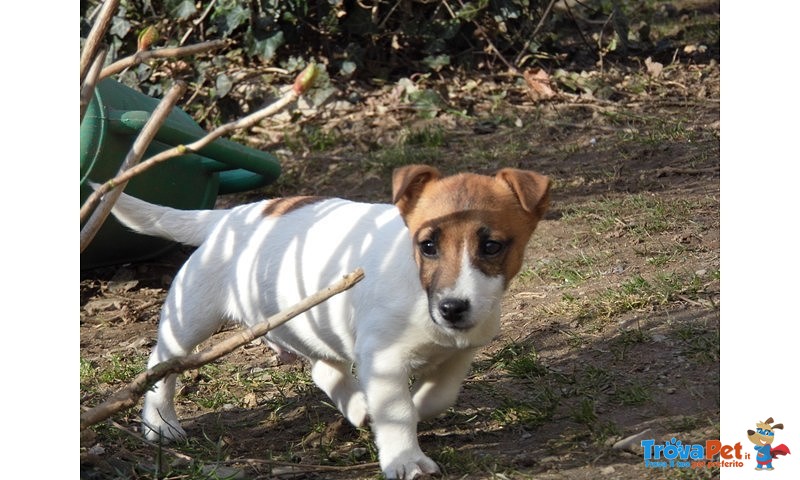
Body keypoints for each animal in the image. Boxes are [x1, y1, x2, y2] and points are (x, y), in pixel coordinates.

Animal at [109, 163, 552, 478]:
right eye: (428, 246)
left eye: (491, 247)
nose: (452, 309)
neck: (417, 290)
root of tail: (229, 218)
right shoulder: (384, 357)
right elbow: (397, 408)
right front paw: (405, 458)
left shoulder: (460, 353)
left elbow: (438, 394)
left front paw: (413, 408)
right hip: (191, 316)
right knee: (161, 366)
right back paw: (160, 424)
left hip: (306, 320)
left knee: (323, 369)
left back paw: (356, 404)